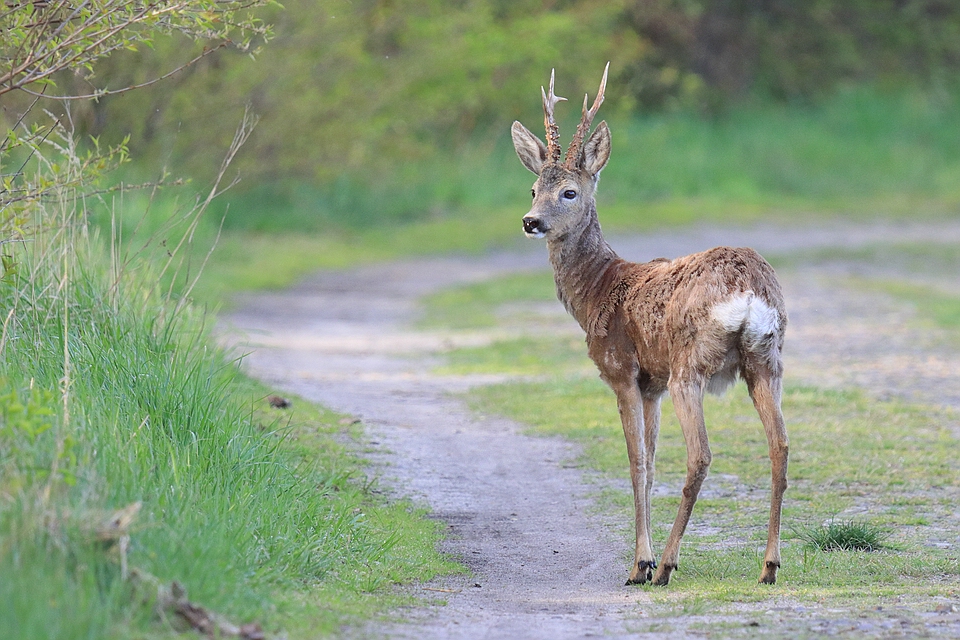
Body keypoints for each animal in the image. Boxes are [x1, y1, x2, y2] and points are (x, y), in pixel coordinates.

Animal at [510, 65, 788, 584]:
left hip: (689, 365)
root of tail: (749, 290)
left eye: (569, 191)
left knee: (700, 455)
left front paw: (641, 561)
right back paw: (768, 565)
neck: (599, 289)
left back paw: (668, 566)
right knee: (780, 446)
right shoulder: (651, 384)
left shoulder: (622, 372)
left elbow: (637, 461)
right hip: (766, 359)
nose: (530, 221)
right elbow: (653, 462)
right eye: (533, 189)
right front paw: (648, 553)